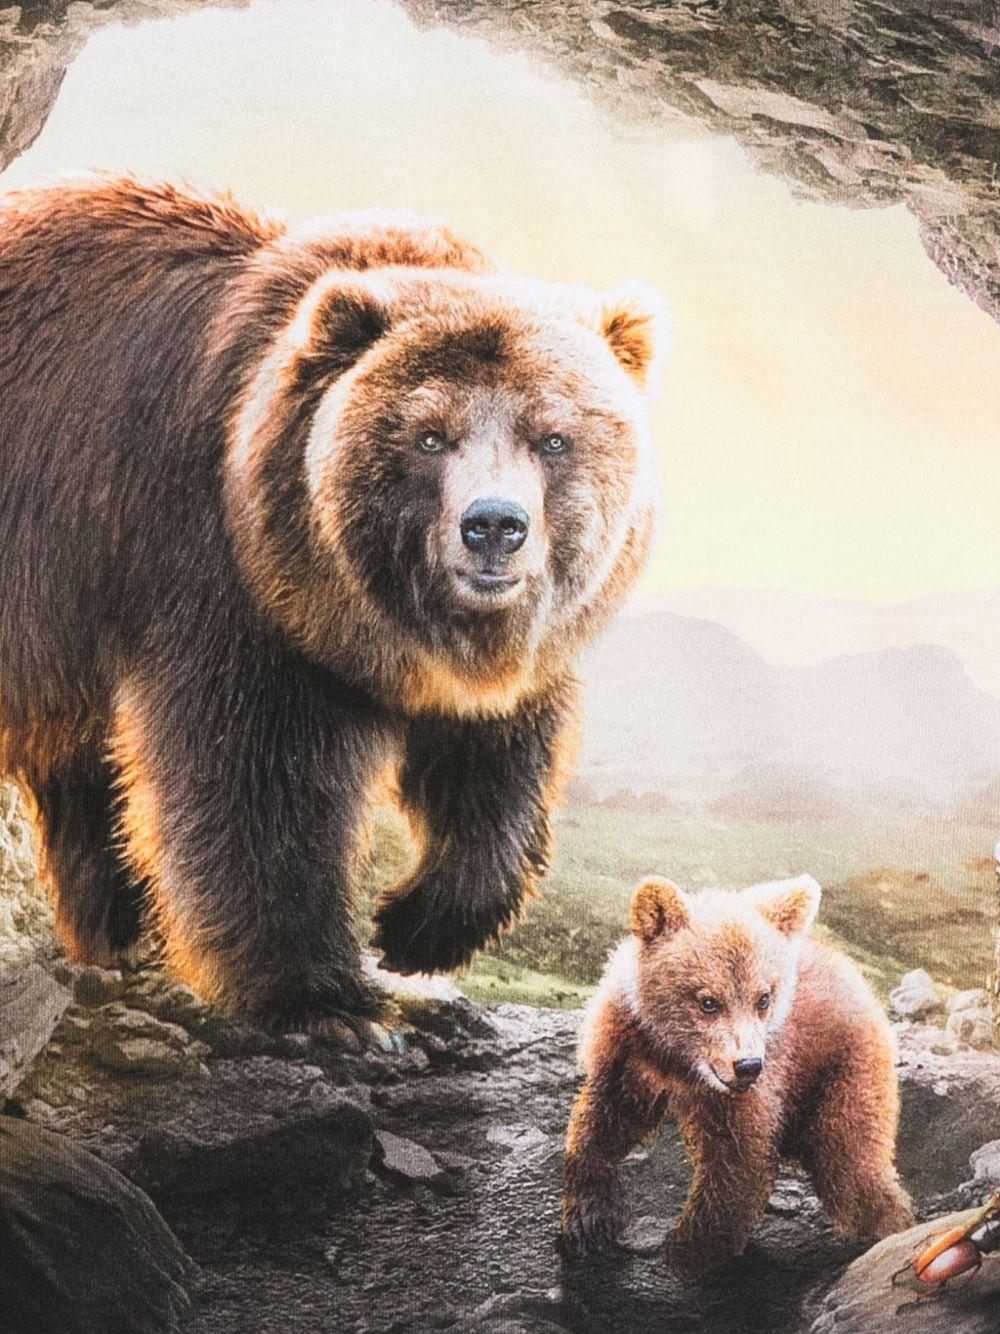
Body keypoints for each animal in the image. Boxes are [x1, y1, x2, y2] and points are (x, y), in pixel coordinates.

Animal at [0, 175, 665, 1030]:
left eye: (553, 436)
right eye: (429, 435)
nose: (494, 527)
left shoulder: (516, 647)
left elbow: (499, 761)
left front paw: (417, 927)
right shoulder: (218, 569)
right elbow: (253, 779)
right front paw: (327, 998)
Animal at [562, 874, 914, 1273]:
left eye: (763, 998)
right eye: (708, 1001)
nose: (747, 1066)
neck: (679, 1060)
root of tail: (859, 981)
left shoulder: (762, 1081)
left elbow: (736, 1163)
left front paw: (688, 1252)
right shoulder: (629, 1051)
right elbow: (607, 1119)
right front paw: (588, 1219)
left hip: (845, 1070)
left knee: (851, 1166)